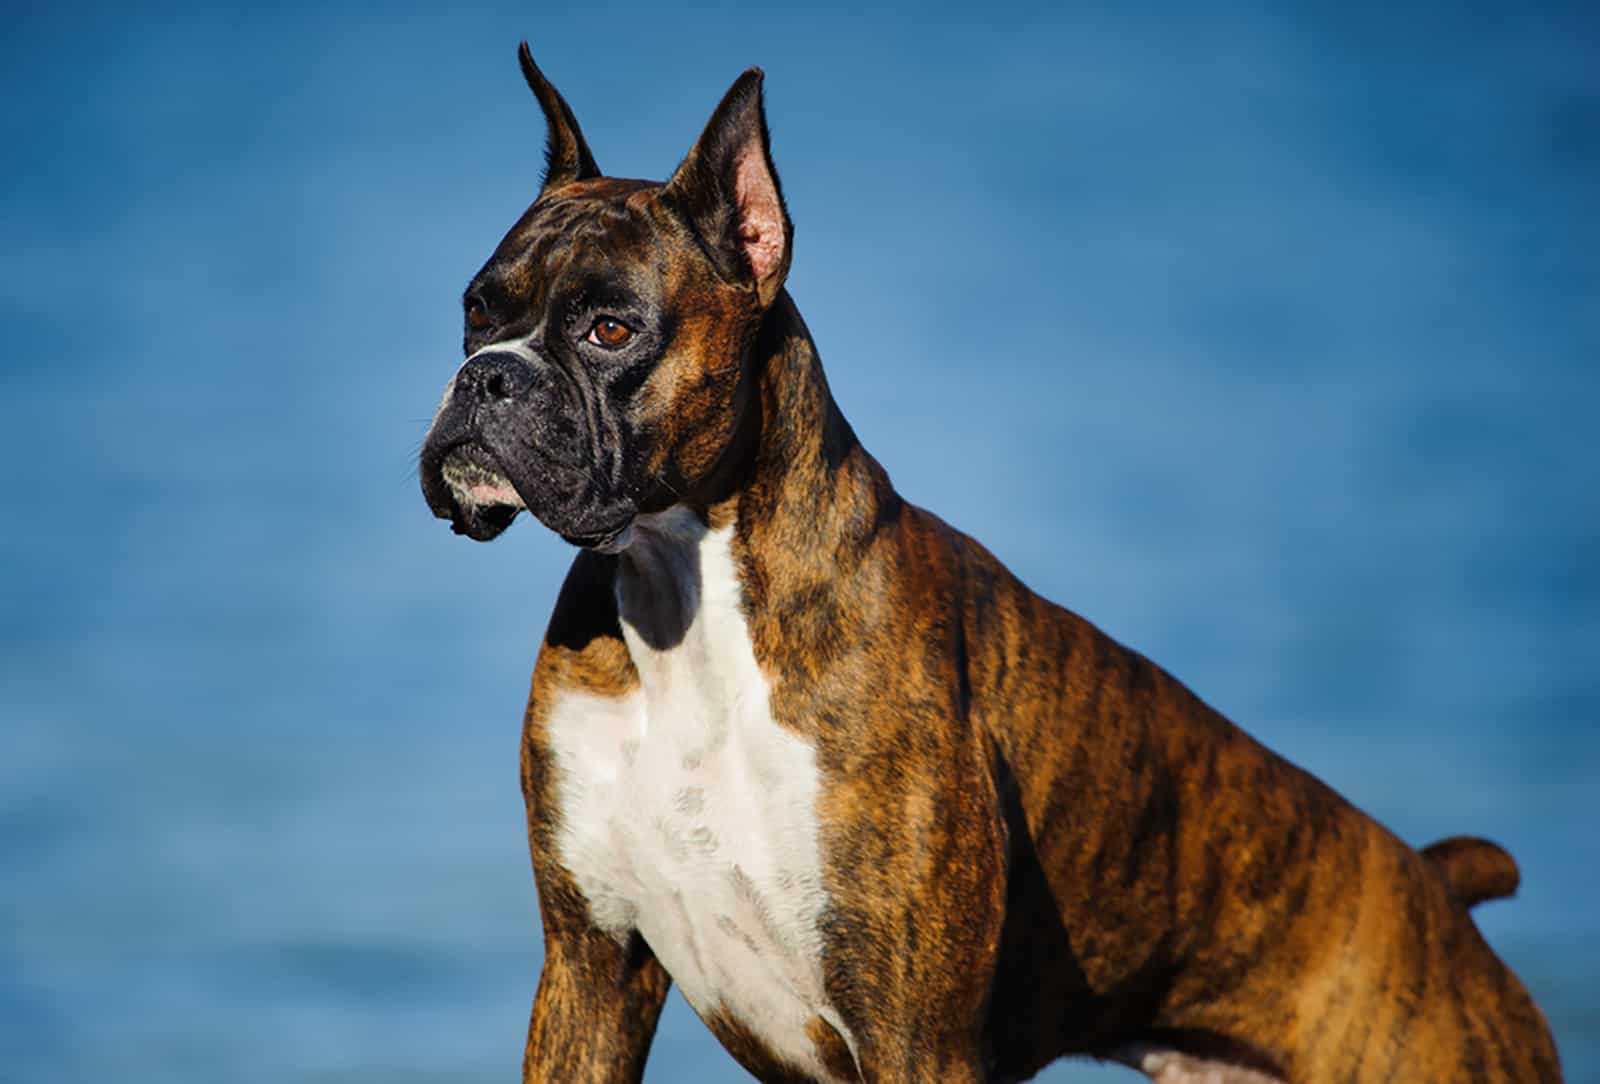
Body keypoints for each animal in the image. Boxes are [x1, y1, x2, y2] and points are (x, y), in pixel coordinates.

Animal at [416, 44, 1561, 1084]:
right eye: (476, 309)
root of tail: (1433, 891)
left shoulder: (913, 1034)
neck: (685, 591)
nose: (487, 378)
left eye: (610, 329)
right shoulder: (590, 970)